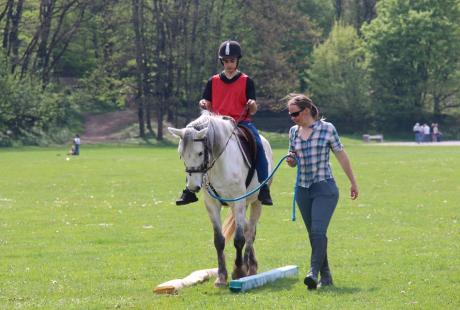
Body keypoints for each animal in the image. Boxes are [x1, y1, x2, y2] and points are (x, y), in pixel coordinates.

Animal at [167, 111, 272, 288]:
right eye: (181, 155)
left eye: (200, 153)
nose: (193, 186)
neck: (218, 164)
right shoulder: (212, 204)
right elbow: (219, 240)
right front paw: (221, 276)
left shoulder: (238, 201)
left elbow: (239, 240)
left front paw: (238, 272)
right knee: (246, 229)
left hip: (255, 202)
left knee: (250, 232)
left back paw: (250, 267)